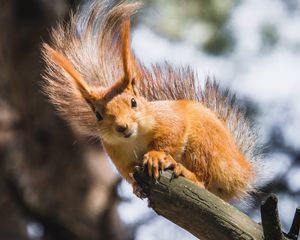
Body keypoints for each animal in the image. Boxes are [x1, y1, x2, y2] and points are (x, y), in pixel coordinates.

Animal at [41, 0, 260, 202]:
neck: (135, 138)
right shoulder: (118, 156)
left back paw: (184, 170)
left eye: (133, 102)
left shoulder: (169, 119)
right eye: (98, 115)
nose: (122, 127)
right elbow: (129, 172)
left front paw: (156, 156)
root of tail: (241, 170)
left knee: (203, 179)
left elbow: (171, 136)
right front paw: (137, 187)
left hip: (204, 144)